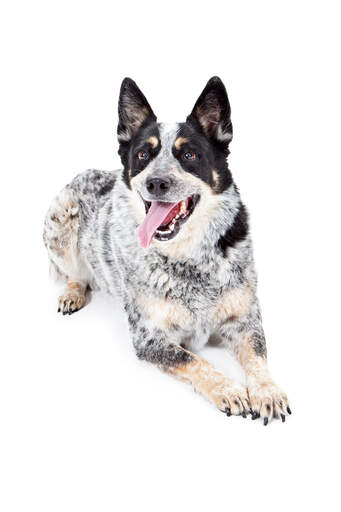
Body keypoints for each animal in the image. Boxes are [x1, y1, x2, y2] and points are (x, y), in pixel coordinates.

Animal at [43, 76, 290, 424]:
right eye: (143, 154)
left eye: (189, 155)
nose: (156, 182)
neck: (190, 259)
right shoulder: (150, 337)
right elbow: (197, 362)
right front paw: (229, 389)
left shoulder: (244, 319)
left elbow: (258, 355)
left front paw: (267, 391)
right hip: (61, 217)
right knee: (73, 273)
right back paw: (73, 293)